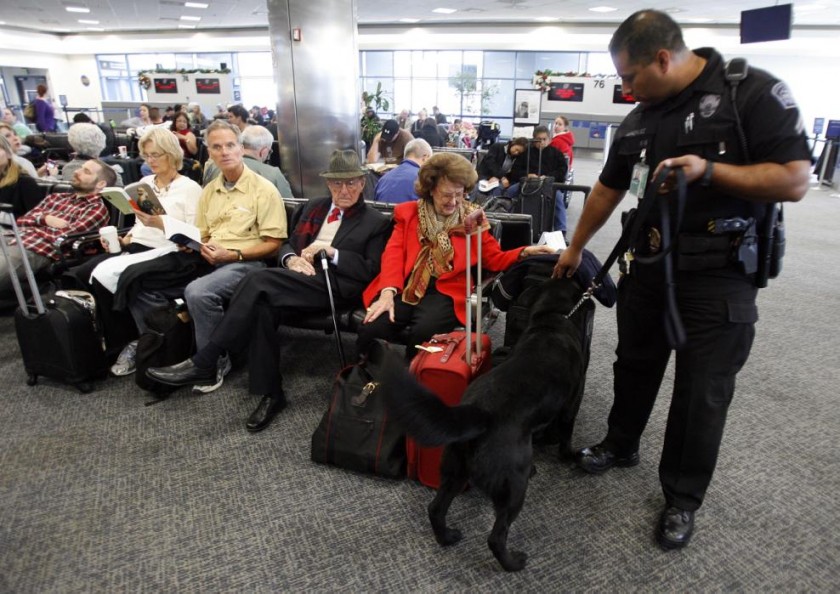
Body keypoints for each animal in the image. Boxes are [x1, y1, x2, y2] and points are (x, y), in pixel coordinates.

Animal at [380, 276, 586, 572]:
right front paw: (569, 454)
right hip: (513, 485)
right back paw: (513, 563)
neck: (551, 320)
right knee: (496, 536)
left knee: (435, 508)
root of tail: (478, 412)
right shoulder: (571, 401)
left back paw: (447, 537)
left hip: (455, 469)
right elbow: (566, 433)